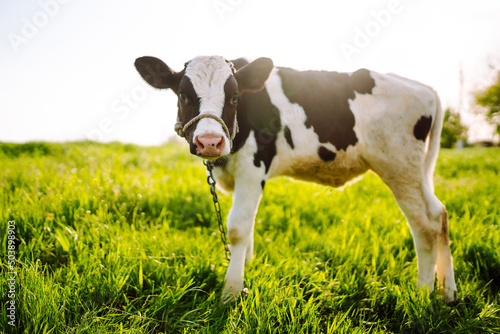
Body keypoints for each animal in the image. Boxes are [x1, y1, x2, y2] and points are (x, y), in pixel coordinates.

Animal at [134, 55, 458, 302]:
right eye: (184, 95)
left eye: (235, 96)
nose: (210, 141)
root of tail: (425, 88)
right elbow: (249, 228)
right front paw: (245, 270)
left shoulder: (253, 167)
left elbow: (238, 228)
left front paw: (231, 291)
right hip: (415, 172)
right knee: (439, 214)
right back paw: (448, 292)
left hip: (399, 167)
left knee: (424, 225)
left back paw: (422, 293)